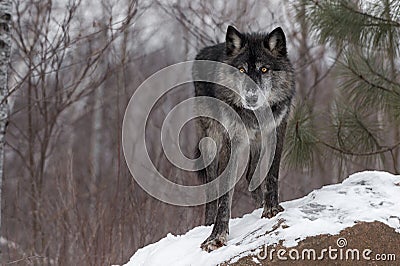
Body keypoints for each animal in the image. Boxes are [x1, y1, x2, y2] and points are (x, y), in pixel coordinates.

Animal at [192, 25, 296, 251]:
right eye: (241, 70)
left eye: (264, 70)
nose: (251, 97)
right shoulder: (230, 140)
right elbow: (224, 196)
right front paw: (216, 236)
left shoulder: (277, 130)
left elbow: (271, 175)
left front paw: (271, 208)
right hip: (211, 143)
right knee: (211, 187)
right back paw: (207, 223)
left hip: (255, 143)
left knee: (250, 175)